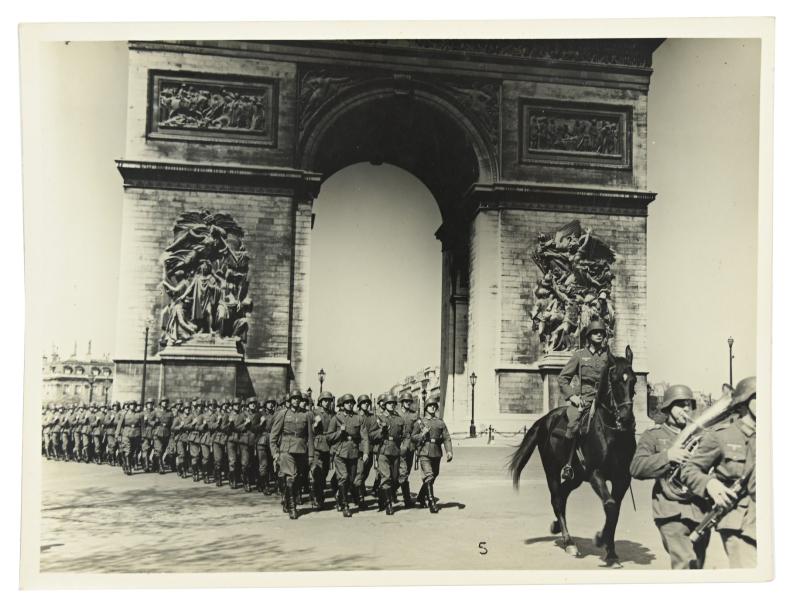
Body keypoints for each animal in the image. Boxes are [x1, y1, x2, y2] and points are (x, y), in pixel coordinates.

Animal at [512, 344, 636, 564]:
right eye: (614, 380)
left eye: (633, 380)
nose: (626, 419)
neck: (612, 433)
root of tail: (545, 418)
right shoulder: (596, 474)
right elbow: (610, 506)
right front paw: (600, 539)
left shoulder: (622, 478)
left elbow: (615, 512)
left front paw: (611, 551)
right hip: (552, 470)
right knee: (556, 498)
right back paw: (569, 541)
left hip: (577, 475)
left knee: (563, 494)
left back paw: (557, 527)